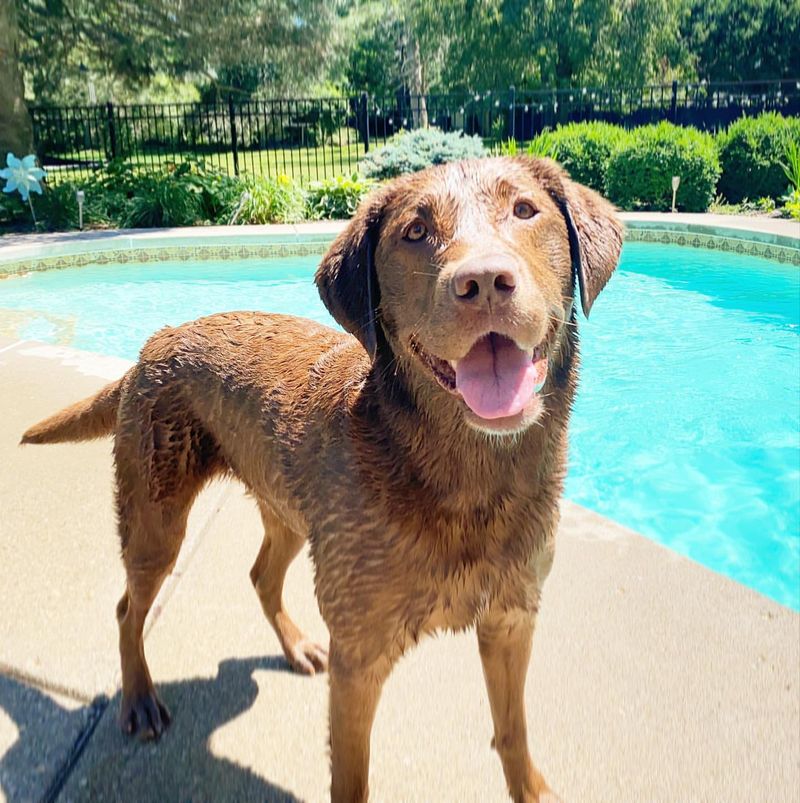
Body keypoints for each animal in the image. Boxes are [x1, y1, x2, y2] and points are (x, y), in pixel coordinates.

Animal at [17, 159, 620, 803]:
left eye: (525, 210)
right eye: (414, 232)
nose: (483, 281)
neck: (469, 479)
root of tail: (155, 340)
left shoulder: (511, 619)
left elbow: (513, 731)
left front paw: (532, 789)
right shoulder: (359, 659)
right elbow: (351, 776)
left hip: (288, 514)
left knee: (260, 575)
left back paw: (297, 645)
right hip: (156, 522)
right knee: (129, 609)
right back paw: (139, 699)